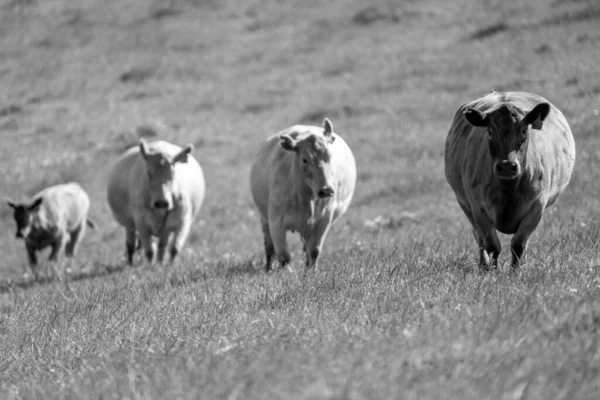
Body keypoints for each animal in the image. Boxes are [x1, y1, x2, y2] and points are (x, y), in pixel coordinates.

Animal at [248, 116, 356, 272]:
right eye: (305, 160)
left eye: (329, 157)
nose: (326, 190)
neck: (306, 199)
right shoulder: (276, 221)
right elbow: (284, 256)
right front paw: (286, 274)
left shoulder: (324, 218)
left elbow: (314, 250)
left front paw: (311, 272)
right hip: (264, 218)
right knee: (269, 246)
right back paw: (268, 269)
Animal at [446, 90, 576, 270]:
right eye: (490, 132)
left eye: (523, 131)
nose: (507, 166)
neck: (509, 190)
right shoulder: (478, 208)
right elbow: (492, 245)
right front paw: (492, 271)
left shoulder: (537, 206)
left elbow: (519, 244)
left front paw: (516, 271)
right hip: (465, 204)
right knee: (479, 238)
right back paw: (483, 265)